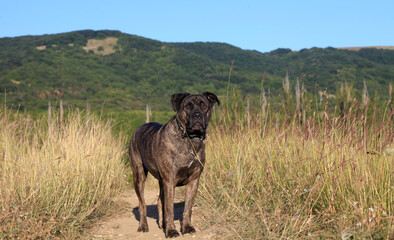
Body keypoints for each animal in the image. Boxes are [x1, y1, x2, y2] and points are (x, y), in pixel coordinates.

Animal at [130, 91, 220, 237]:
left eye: (204, 106)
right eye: (187, 106)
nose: (197, 115)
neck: (190, 139)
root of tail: (138, 128)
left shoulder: (193, 181)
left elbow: (187, 208)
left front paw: (187, 227)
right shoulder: (170, 181)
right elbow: (169, 209)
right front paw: (171, 231)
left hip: (161, 181)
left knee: (159, 200)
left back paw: (162, 224)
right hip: (139, 175)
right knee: (142, 204)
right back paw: (143, 226)